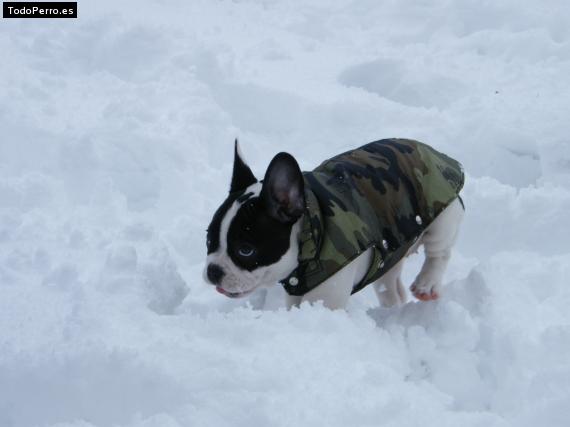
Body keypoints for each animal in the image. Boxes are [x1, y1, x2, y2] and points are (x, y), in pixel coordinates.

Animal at [203, 139, 462, 310]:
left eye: (246, 250)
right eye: (208, 240)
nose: (213, 271)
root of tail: (433, 151)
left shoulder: (327, 299)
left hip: (443, 216)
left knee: (440, 252)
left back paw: (427, 284)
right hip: (391, 256)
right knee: (391, 287)